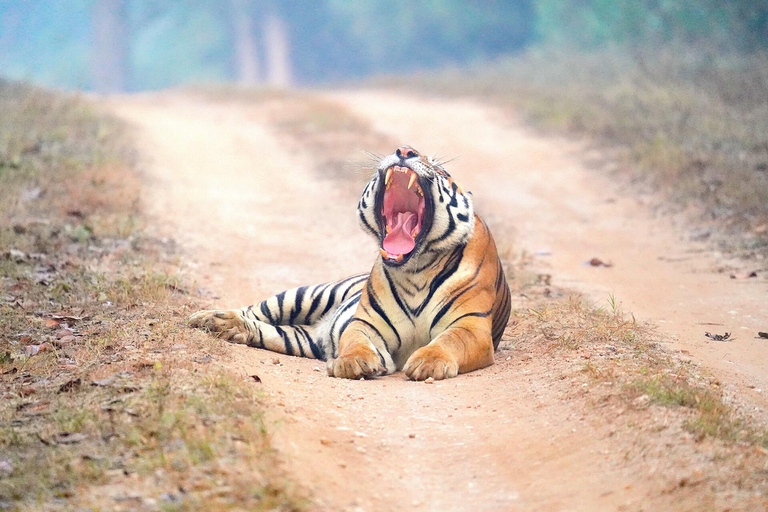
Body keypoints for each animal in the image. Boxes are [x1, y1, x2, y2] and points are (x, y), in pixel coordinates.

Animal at [189, 146, 511, 380]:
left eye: (441, 169)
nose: (405, 150)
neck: (415, 269)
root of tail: (318, 329)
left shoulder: (470, 325)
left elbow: (448, 341)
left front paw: (429, 364)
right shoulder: (365, 323)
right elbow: (356, 342)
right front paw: (353, 363)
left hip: (300, 338)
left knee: (269, 330)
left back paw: (227, 327)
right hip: (304, 295)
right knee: (256, 309)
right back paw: (209, 318)